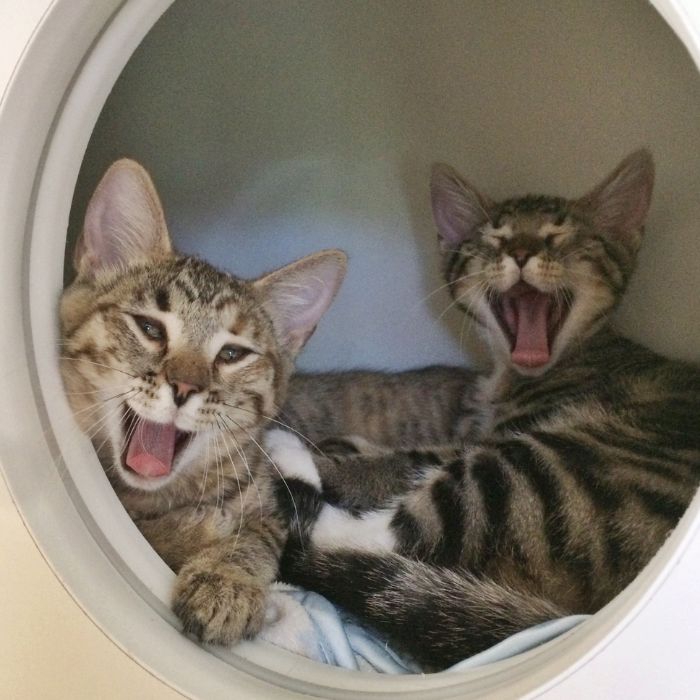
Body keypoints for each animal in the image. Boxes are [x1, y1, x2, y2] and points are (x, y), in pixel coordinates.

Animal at [59, 159, 348, 644]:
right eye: (150, 328)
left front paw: (226, 578)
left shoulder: (268, 505)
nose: (183, 387)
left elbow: (256, 538)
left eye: (231, 354)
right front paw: (193, 538)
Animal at [270, 149, 700, 672]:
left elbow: (400, 463)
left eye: (558, 235)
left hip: (551, 469)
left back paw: (288, 459)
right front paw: (349, 443)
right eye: (496, 237)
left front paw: (330, 456)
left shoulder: (494, 442)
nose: (520, 253)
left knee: (391, 534)